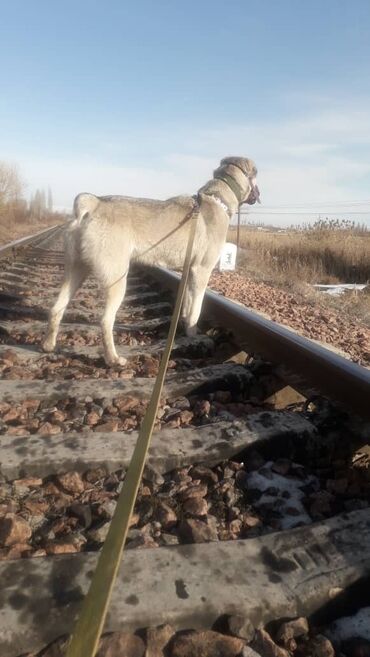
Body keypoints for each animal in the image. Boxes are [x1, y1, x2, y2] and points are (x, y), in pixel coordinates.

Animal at [43, 157, 260, 366]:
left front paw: (184, 327)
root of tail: (93, 204)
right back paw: (113, 359)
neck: (218, 199)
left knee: (56, 308)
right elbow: (195, 310)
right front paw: (193, 334)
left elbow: (186, 306)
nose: (259, 194)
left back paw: (48, 345)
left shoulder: (189, 272)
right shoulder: (201, 271)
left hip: (76, 270)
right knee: (105, 321)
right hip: (116, 279)